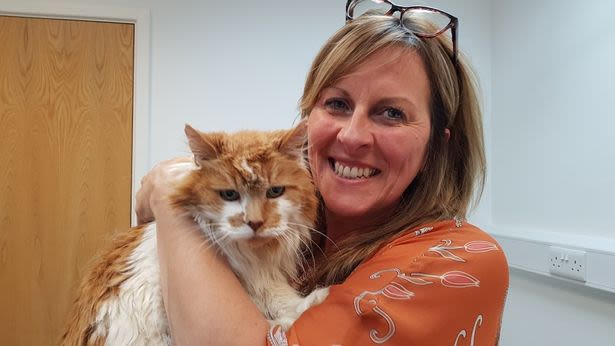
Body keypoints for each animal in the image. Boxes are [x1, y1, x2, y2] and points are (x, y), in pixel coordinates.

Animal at [62, 121, 330, 344]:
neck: (252, 257)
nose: (254, 222)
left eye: (275, 192)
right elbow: (273, 309)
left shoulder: (264, 276)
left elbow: (280, 298)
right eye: (229, 195)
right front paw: (300, 310)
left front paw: (309, 301)